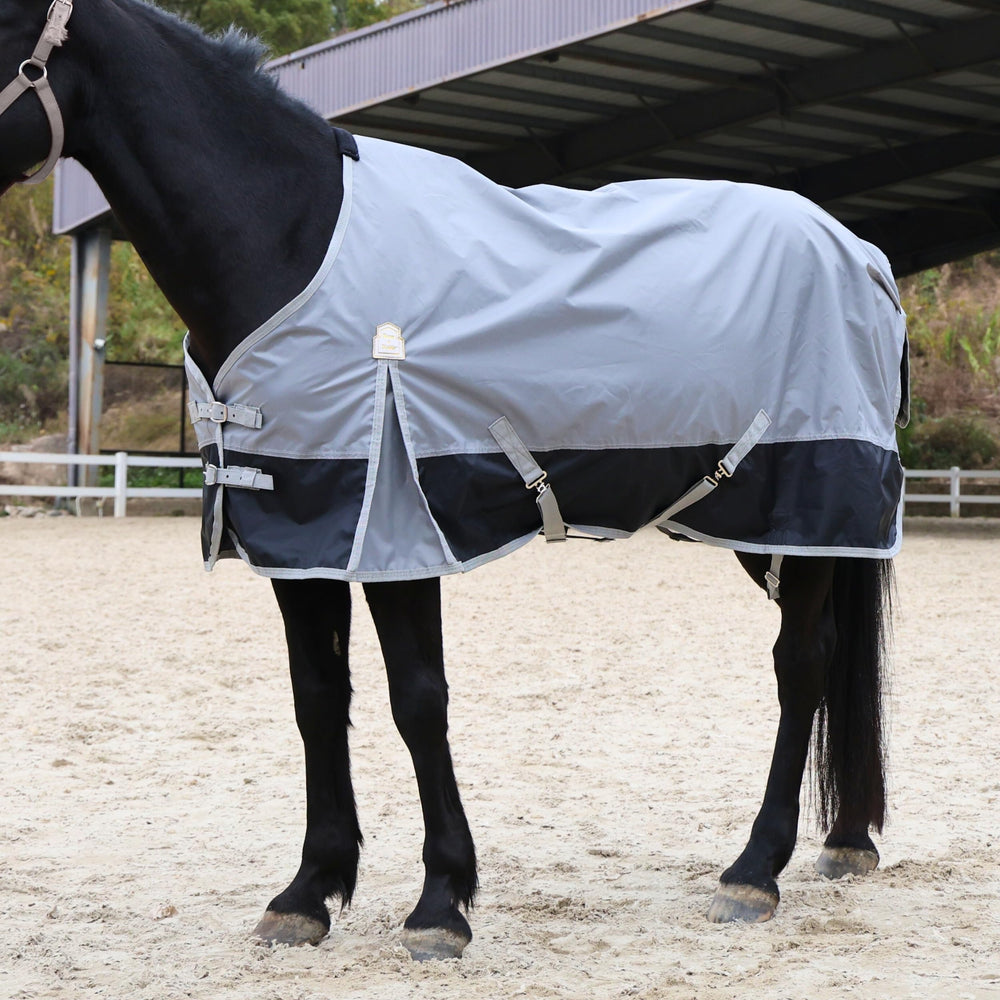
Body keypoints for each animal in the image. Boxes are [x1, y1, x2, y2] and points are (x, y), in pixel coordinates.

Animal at [0, 0, 905, 961]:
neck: (293, 240)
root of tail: (862, 253)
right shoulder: (304, 534)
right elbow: (318, 700)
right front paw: (308, 892)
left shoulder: (398, 528)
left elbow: (416, 702)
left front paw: (441, 902)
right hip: (773, 527)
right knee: (827, 659)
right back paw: (845, 841)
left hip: (806, 509)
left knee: (800, 666)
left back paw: (753, 872)